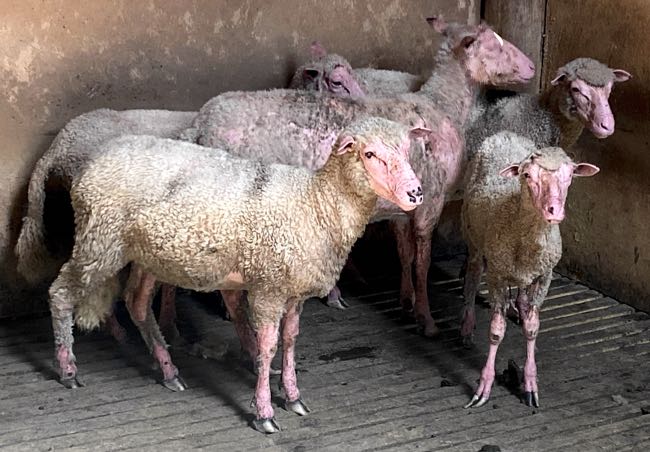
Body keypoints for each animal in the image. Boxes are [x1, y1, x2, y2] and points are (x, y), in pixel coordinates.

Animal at [49, 116, 425, 433]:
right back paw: (68, 370)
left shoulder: (293, 292)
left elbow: (291, 340)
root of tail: (95, 161)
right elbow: (268, 346)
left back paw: (168, 370)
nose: (416, 192)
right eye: (370, 154)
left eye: (407, 151)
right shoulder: (268, 288)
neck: (315, 203)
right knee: (61, 293)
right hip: (99, 238)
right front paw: (264, 412)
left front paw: (292, 396)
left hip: (145, 255)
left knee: (137, 304)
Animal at [182, 16, 535, 337]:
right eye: (494, 44)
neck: (443, 105)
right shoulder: (431, 202)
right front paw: (426, 319)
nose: (532, 68)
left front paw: (406, 301)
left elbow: (404, 253)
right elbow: (422, 262)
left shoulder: (404, 206)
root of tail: (201, 125)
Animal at [461, 131, 599, 409]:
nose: (554, 211)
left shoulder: (545, 276)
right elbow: (496, 331)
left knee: (522, 297)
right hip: (474, 240)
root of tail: (505, 134)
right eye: (527, 175)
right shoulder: (497, 274)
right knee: (472, 276)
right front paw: (484, 386)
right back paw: (467, 325)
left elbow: (533, 328)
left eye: (570, 175)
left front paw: (530, 383)